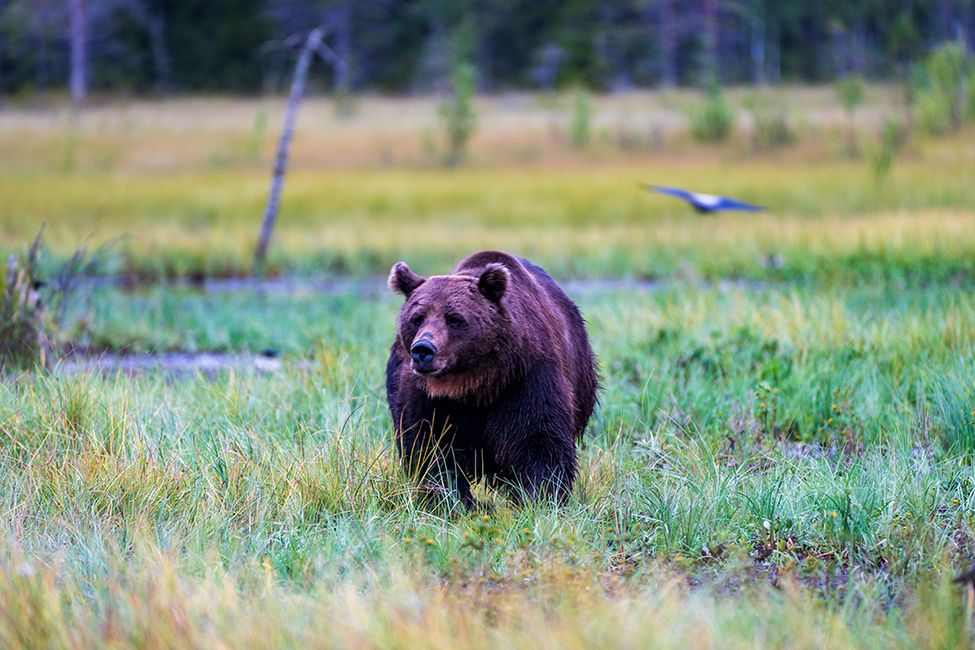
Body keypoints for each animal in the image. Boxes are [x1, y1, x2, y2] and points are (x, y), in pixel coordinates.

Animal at [385, 250, 598, 509]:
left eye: (454, 318)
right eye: (417, 318)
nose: (423, 350)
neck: (475, 383)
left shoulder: (526, 378)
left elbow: (538, 440)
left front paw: (540, 497)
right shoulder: (427, 396)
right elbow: (430, 445)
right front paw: (453, 501)